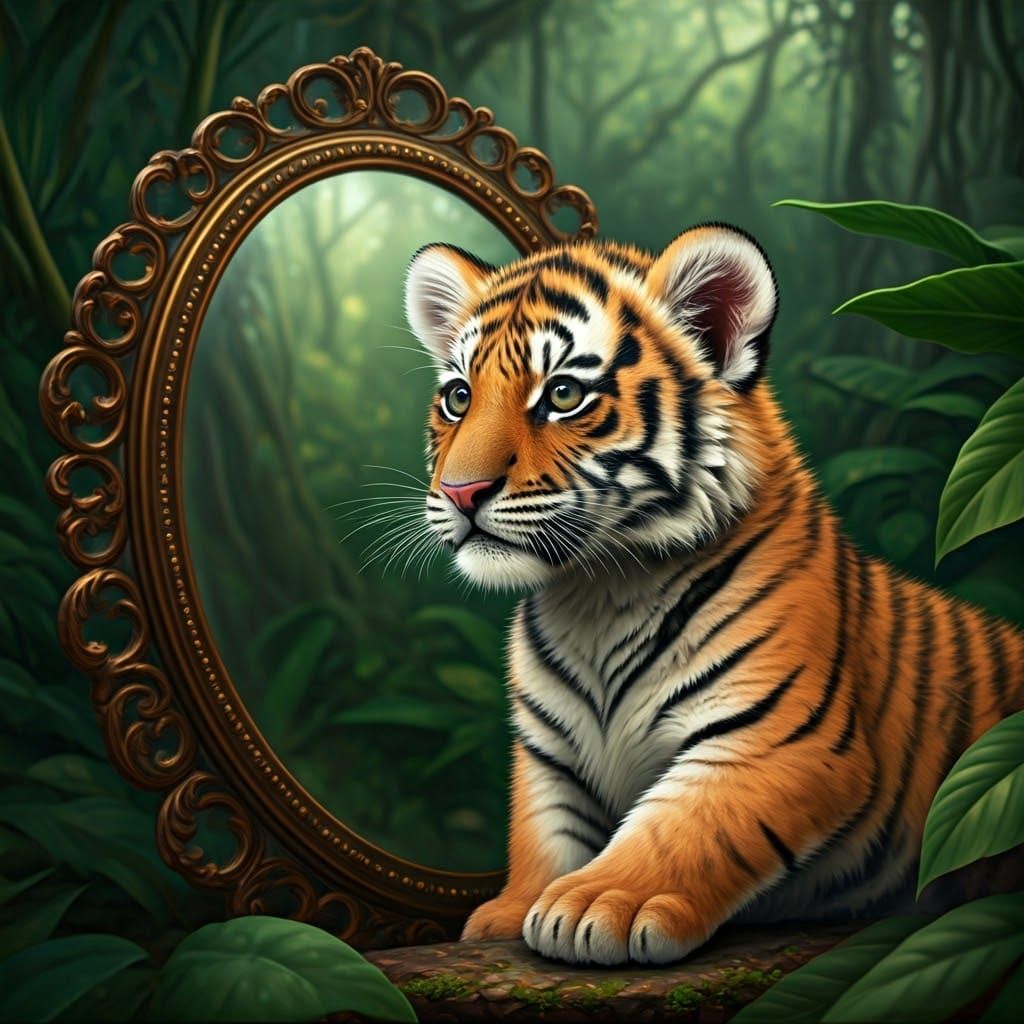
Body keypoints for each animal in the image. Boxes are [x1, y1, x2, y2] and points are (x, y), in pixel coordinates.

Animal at [401, 223, 1024, 966]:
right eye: (459, 398)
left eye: (563, 395)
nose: (460, 492)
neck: (595, 593)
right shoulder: (547, 754)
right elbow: (543, 830)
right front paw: (513, 908)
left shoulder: (776, 737)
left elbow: (682, 826)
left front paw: (598, 903)